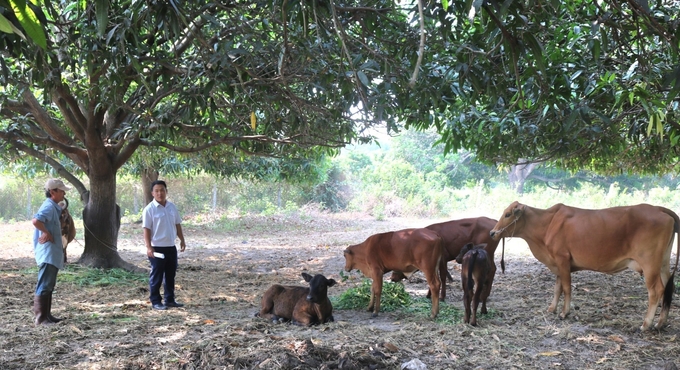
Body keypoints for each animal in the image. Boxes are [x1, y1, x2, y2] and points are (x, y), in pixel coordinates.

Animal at [488, 201, 680, 330]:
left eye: (507, 214)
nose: (492, 233)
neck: (546, 224)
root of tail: (658, 208)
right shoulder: (557, 264)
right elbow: (557, 288)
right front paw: (552, 308)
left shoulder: (563, 260)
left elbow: (566, 287)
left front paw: (564, 312)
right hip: (663, 264)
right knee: (668, 289)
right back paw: (661, 323)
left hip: (650, 265)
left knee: (656, 291)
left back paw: (646, 324)